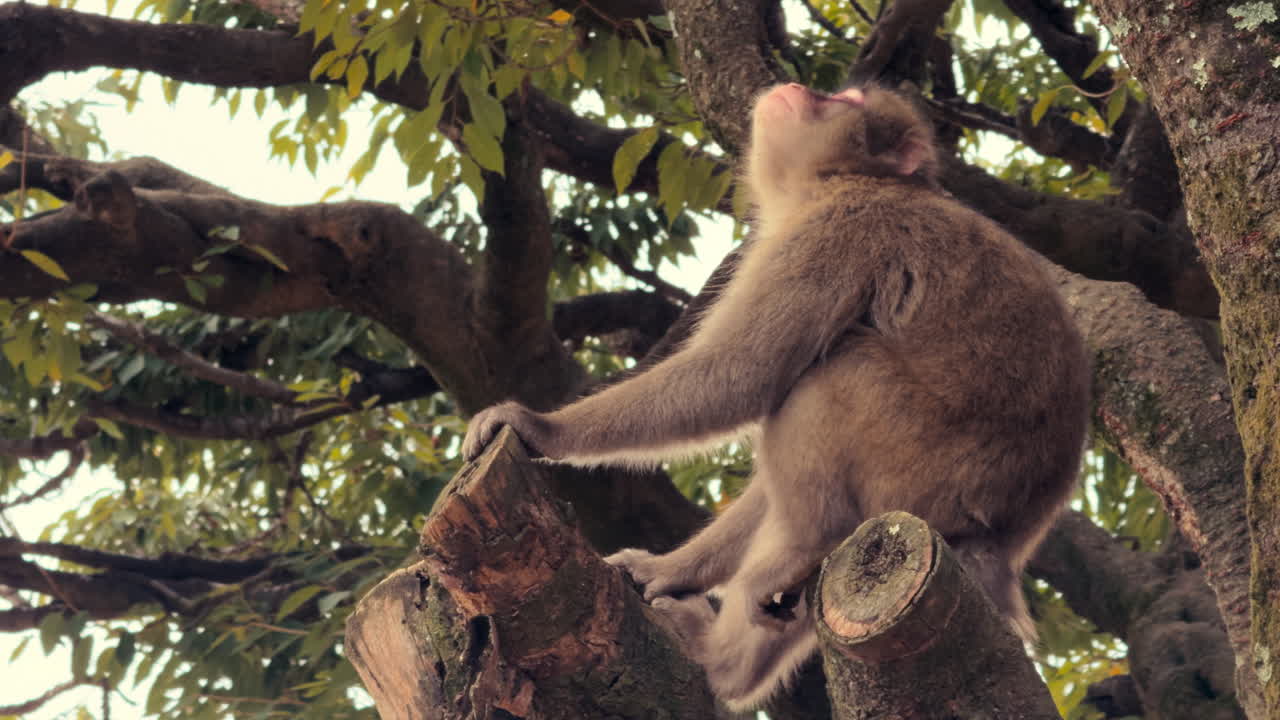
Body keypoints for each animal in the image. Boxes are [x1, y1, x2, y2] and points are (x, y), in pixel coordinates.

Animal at [462, 83, 1090, 710]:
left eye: (846, 98)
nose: (805, 88)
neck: (838, 181)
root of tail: (1003, 542)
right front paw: (669, 569)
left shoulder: (836, 229)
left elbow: (742, 373)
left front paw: (540, 427)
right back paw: (731, 669)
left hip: (924, 470)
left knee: (826, 381)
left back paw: (799, 557)